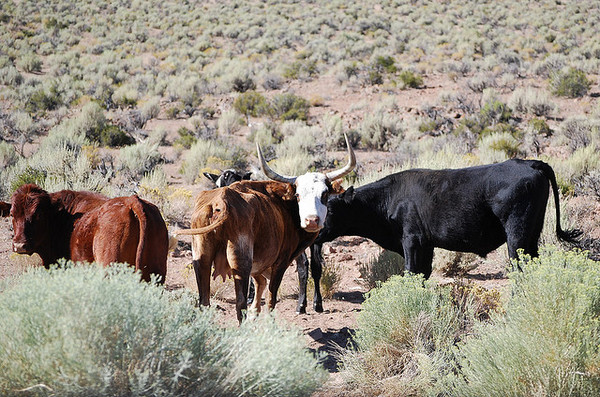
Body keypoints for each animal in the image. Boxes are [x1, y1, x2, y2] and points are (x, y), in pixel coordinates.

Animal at [176, 136, 354, 322]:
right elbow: (271, 297)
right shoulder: (280, 263)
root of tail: (220, 202)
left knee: (204, 300)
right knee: (240, 302)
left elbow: (260, 283)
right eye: (298, 195)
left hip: (201, 259)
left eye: (325, 194)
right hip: (241, 262)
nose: (312, 220)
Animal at [308, 159, 580, 310]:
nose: (312, 228)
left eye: (329, 206)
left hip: (517, 236)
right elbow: (422, 275)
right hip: (532, 235)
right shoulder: (426, 245)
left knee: (521, 269)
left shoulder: (412, 240)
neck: (387, 199)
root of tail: (529, 162)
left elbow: (411, 273)